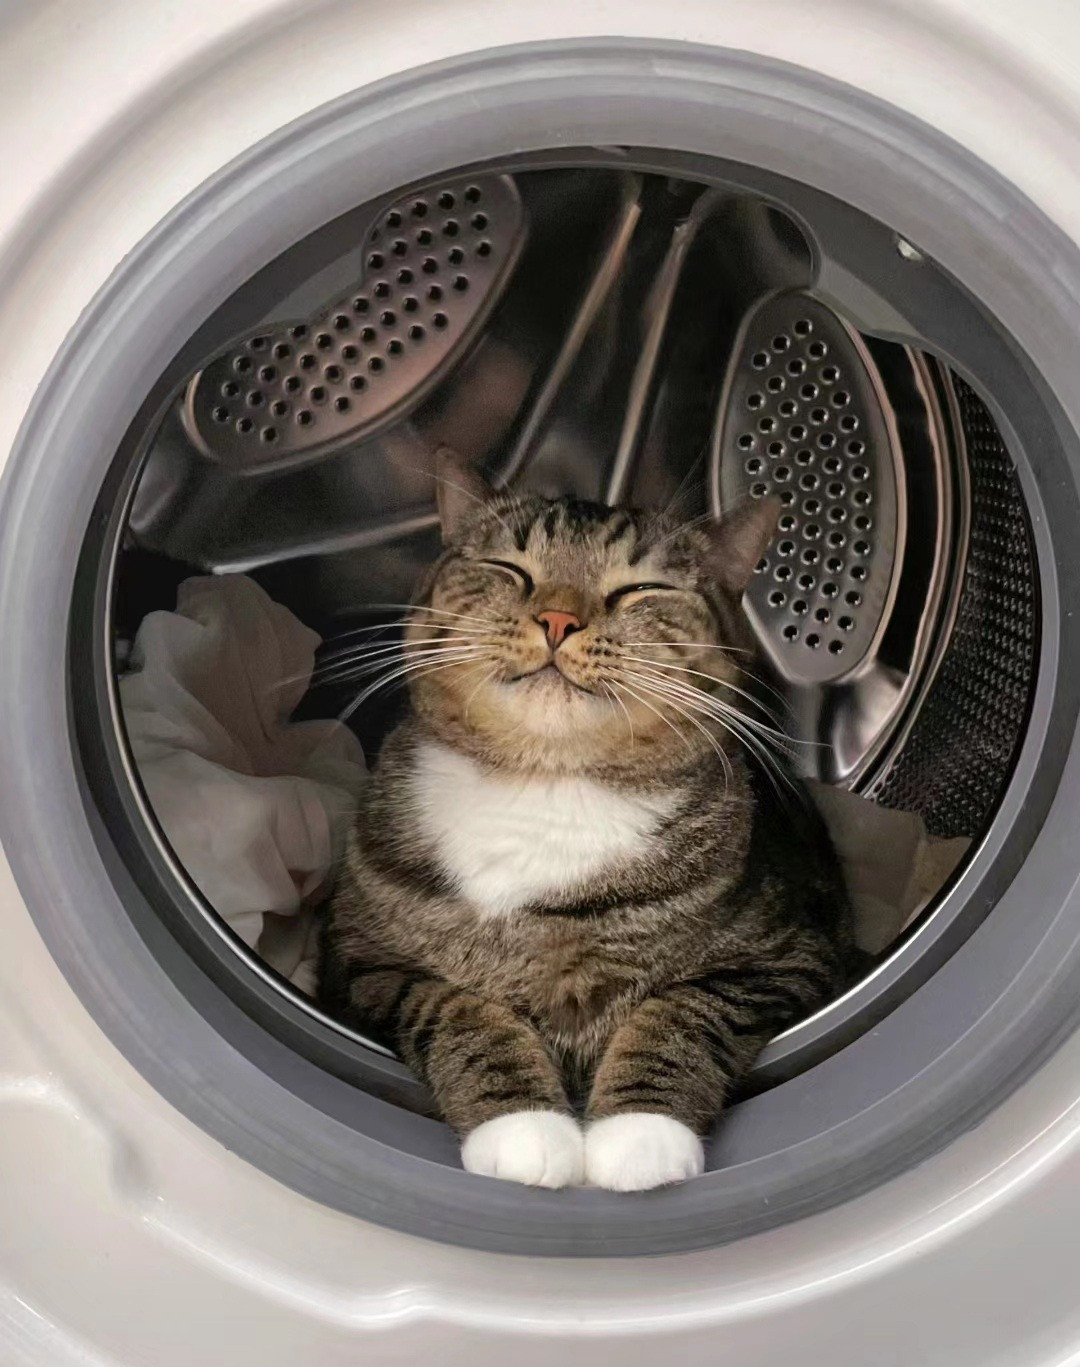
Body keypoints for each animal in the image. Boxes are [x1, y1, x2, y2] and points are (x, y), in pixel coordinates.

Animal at [319, 445, 853, 1186]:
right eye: (510, 569)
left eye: (639, 589)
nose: (557, 621)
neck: (544, 783)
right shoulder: (361, 959)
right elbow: (454, 1009)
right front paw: (523, 1130)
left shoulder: (786, 954)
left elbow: (686, 1011)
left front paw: (641, 1134)